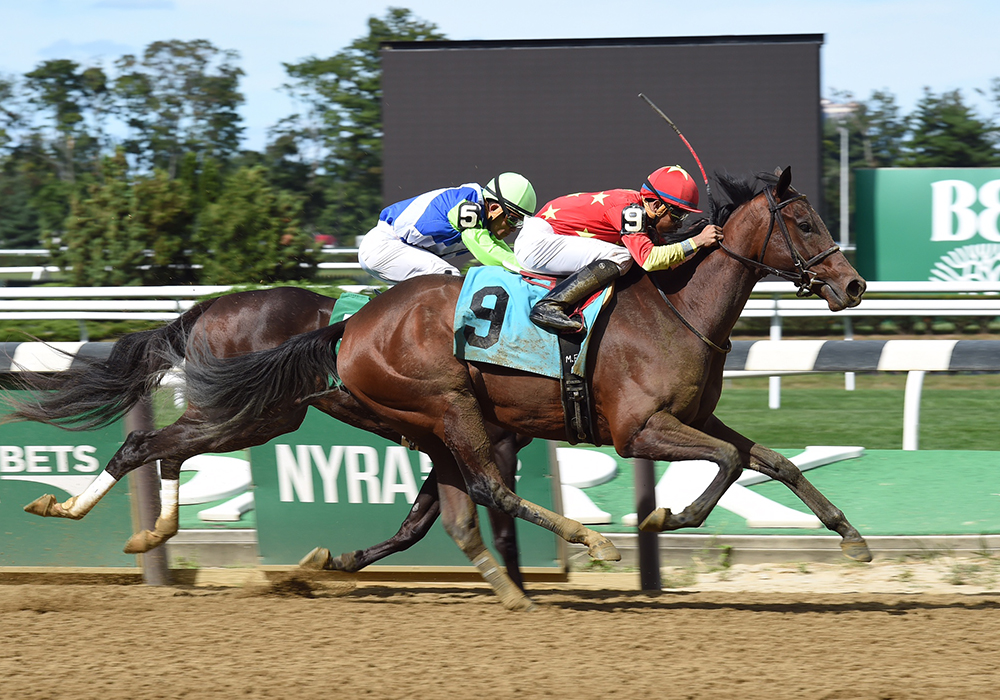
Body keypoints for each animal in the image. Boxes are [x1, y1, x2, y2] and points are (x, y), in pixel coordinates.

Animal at [3, 284, 532, 600]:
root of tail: (212, 305)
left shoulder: (451, 442)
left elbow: (419, 523)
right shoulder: (484, 440)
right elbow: (498, 515)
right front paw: (520, 587)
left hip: (257, 417)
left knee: (167, 449)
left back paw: (152, 528)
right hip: (247, 412)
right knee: (143, 442)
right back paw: (77, 509)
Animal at [182, 165, 876, 580]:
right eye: (805, 221)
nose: (854, 285)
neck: (677, 307)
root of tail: (351, 326)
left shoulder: (693, 417)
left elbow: (775, 462)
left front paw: (850, 534)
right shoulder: (639, 429)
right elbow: (730, 463)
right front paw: (664, 518)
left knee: (439, 505)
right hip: (440, 408)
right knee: (480, 489)